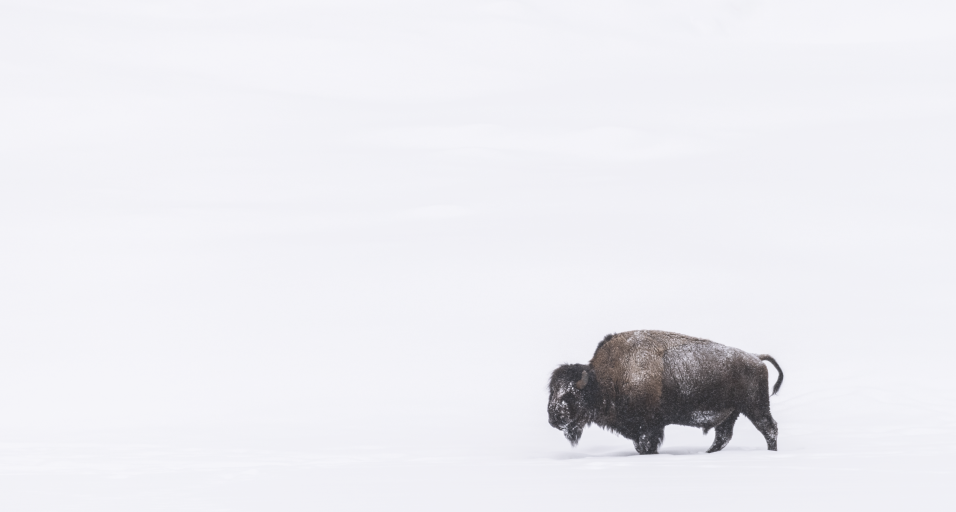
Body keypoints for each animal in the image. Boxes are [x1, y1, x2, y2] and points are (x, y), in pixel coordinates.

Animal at [548, 330, 783, 454]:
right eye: (552, 391)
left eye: (570, 395)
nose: (553, 418)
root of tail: (756, 357)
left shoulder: (648, 427)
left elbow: (646, 444)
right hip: (731, 413)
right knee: (723, 435)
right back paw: (707, 453)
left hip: (755, 406)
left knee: (769, 428)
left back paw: (772, 452)